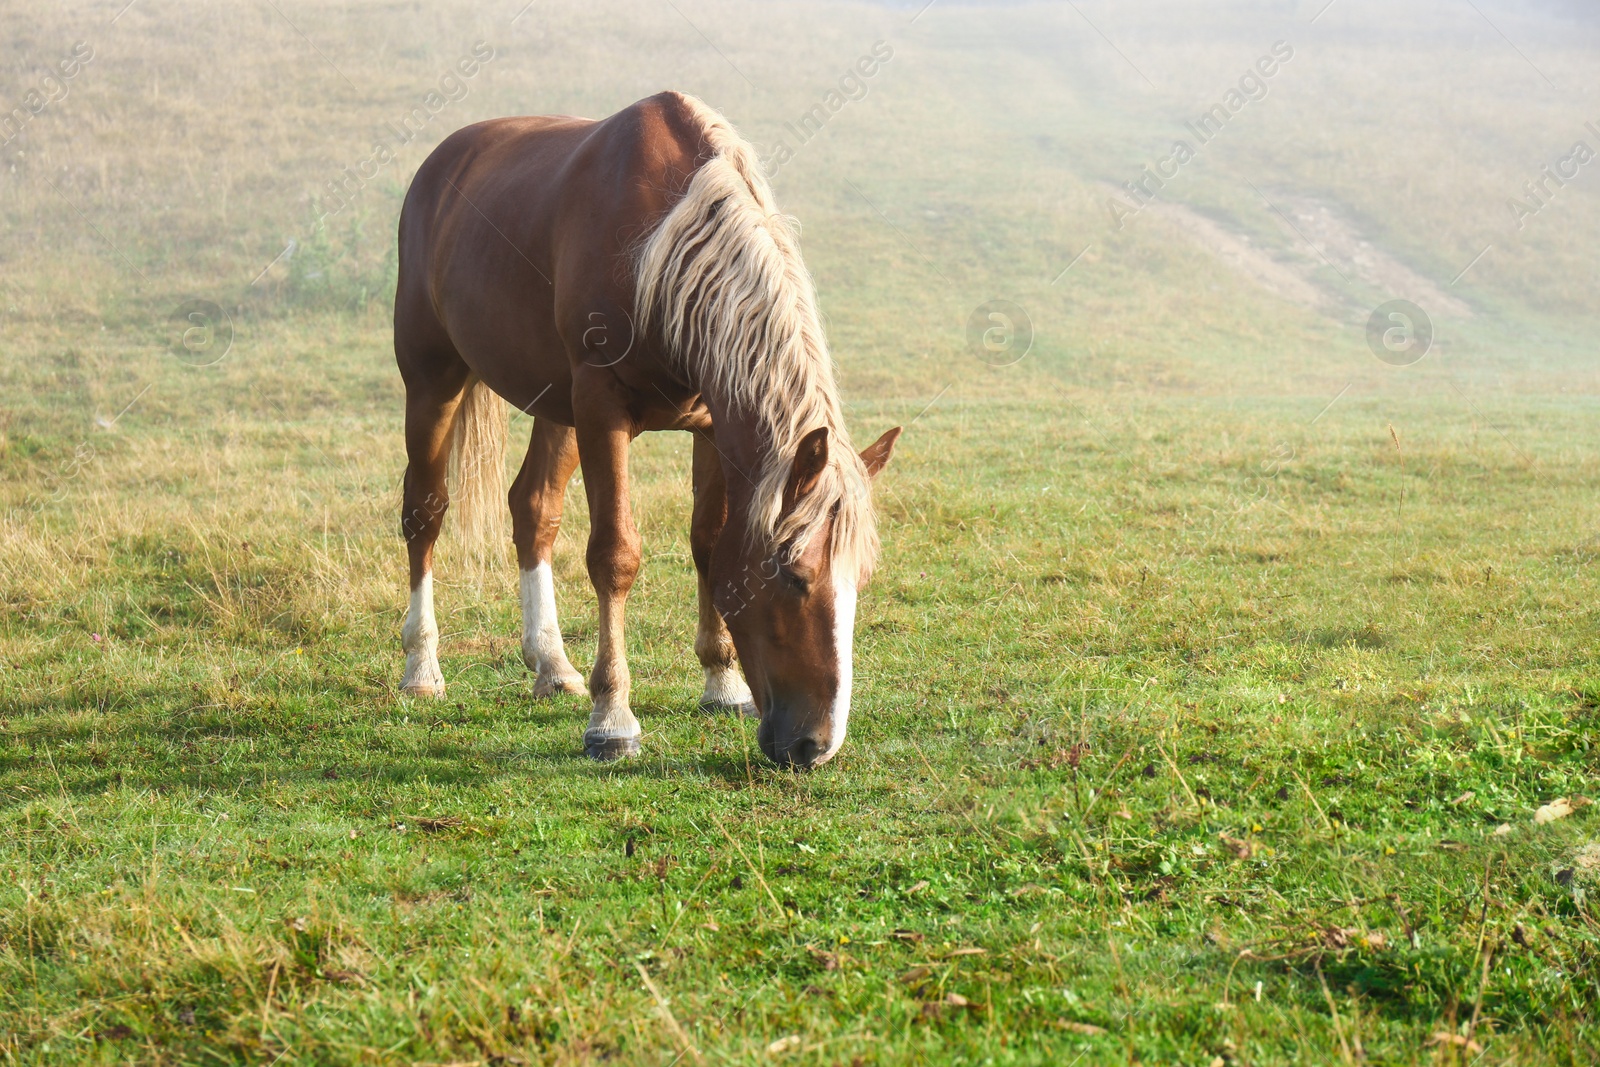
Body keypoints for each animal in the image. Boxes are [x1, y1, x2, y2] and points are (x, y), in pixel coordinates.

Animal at [392, 87, 902, 764]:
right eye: (795, 576)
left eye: (860, 580)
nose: (813, 745)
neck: (665, 249)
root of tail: (442, 162)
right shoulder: (601, 410)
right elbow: (615, 555)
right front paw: (612, 720)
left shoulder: (713, 422)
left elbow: (710, 544)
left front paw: (722, 682)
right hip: (434, 380)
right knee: (425, 511)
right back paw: (421, 669)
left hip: (556, 407)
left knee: (534, 510)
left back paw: (551, 664)